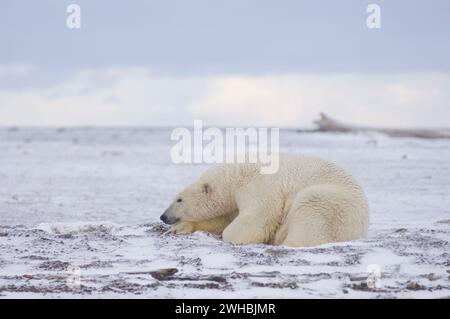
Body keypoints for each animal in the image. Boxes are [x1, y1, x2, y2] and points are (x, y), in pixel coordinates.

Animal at [162, 154, 370, 249]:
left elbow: (256, 219)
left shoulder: (260, 186)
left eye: (179, 199)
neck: (238, 173)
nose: (163, 216)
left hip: (329, 203)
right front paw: (179, 228)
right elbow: (222, 219)